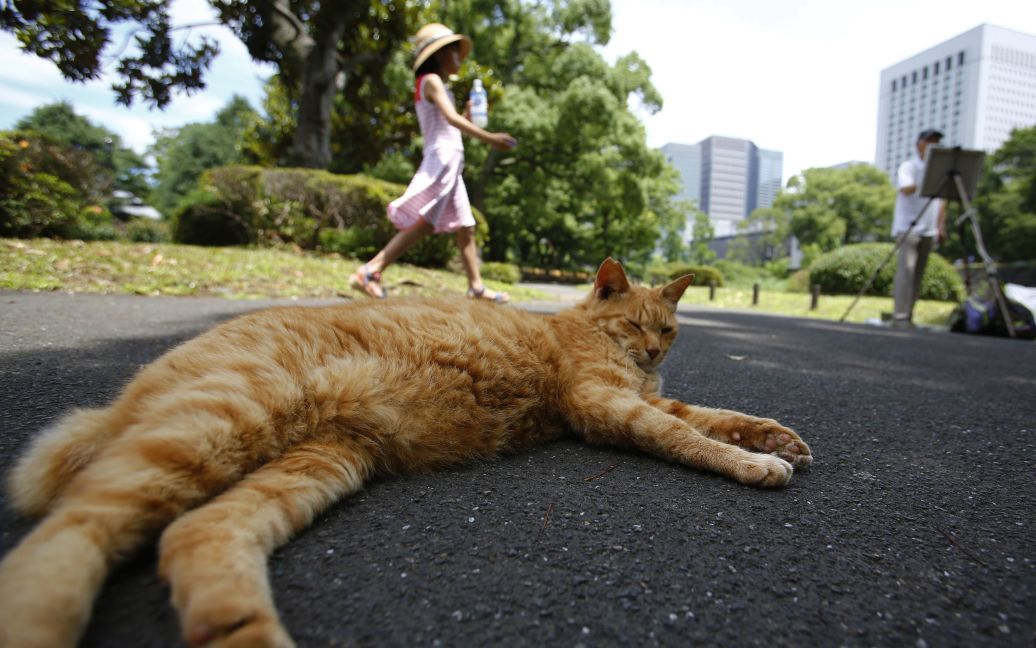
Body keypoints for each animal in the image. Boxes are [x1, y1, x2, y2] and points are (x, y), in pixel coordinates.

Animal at [0, 258, 808, 646]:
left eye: (667, 330)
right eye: (635, 324)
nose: (652, 350)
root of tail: (123, 395)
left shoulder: (647, 397)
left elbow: (719, 415)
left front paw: (774, 436)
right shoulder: (606, 408)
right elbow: (689, 435)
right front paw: (755, 463)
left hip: (318, 461)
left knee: (195, 531)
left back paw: (241, 632)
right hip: (222, 421)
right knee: (72, 529)